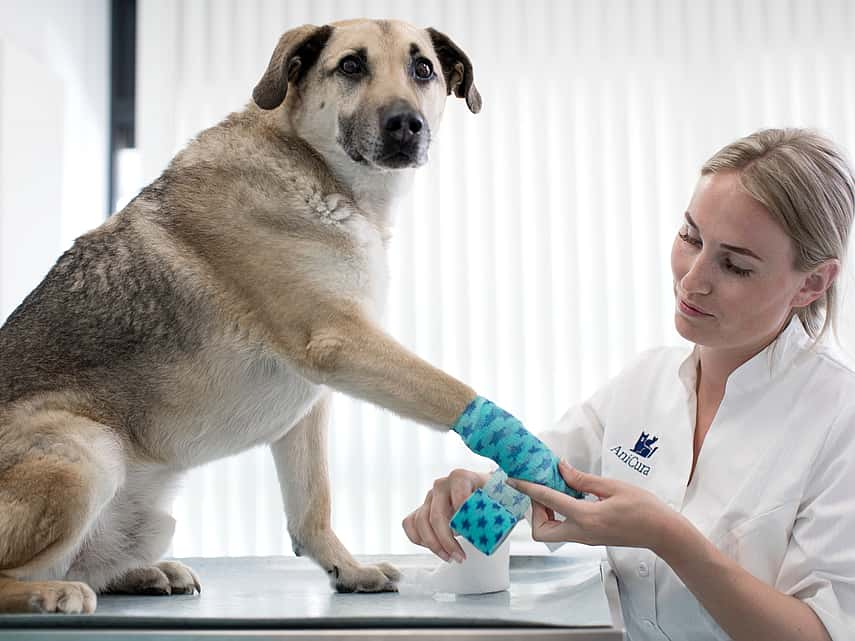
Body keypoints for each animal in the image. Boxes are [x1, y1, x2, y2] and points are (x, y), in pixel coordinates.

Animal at [0, 17, 482, 612]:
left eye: (423, 69)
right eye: (351, 65)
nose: (406, 125)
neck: (316, 168)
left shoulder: (311, 406)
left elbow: (312, 504)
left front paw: (347, 570)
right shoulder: (339, 342)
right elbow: (452, 391)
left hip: (149, 518)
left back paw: (145, 573)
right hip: (86, 452)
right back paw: (52, 591)